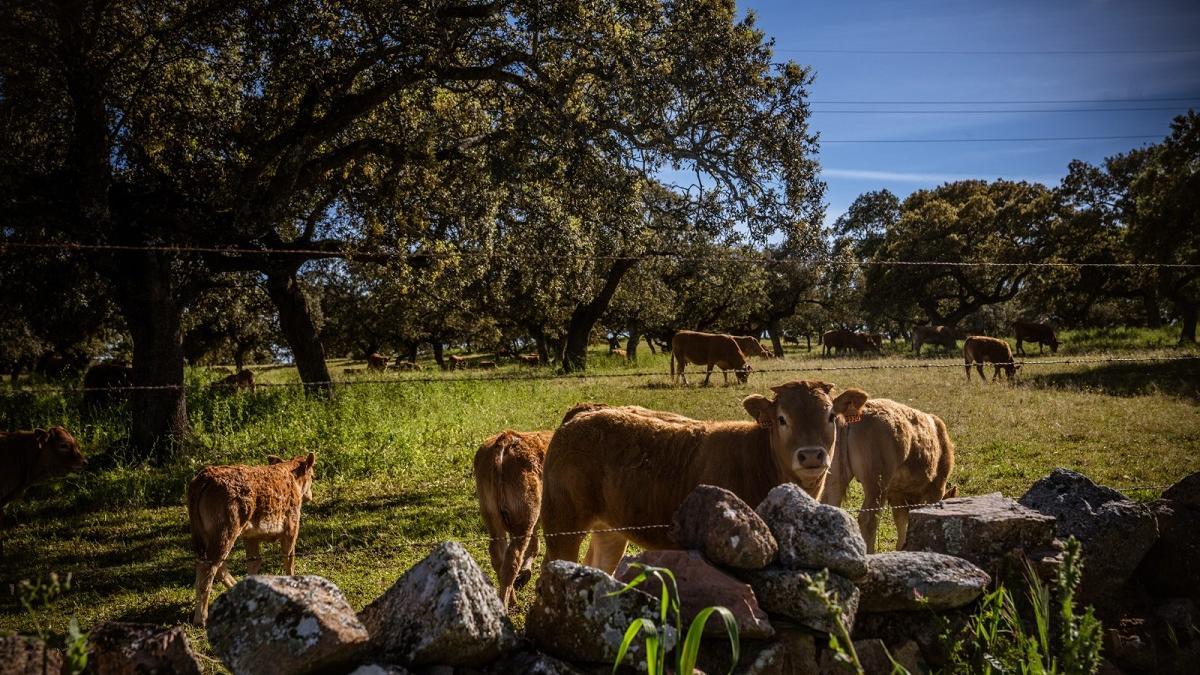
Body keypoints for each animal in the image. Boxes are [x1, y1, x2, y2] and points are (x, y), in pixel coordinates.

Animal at [186, 451, 314, 624]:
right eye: (312, 476)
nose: (310, 496)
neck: (291, 476)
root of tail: (205, 477)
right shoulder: (292, 528)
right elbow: (289, 559)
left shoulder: (251, 536)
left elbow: (254, 563)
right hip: (225, 533)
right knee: (209, 569)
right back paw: (201, 618)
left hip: (208, 537)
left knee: (214, 565)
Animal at [540, 381, 849, 569]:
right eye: (782, 419)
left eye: (831, 416)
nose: (811, 455)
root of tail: (584, 412)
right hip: (561, 524)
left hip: (610, 530)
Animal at [816, 386, 955, 550]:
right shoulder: (936, 488)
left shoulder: (896, 494)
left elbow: (901, 521)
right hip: (876, 485)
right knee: (868, 519)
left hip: (834, 478)